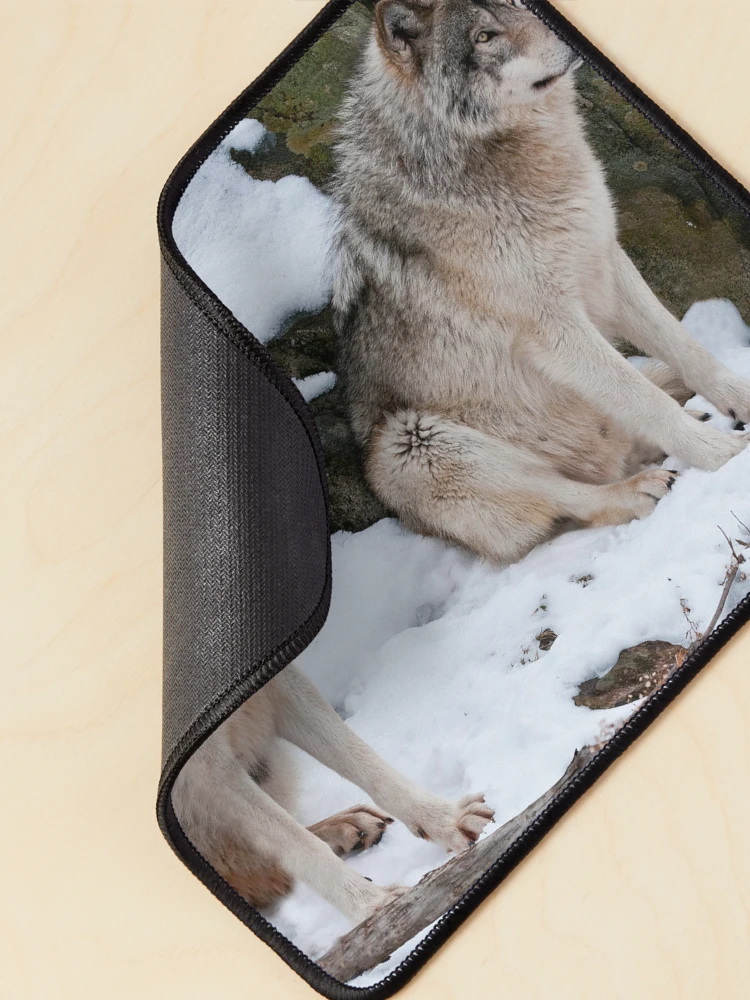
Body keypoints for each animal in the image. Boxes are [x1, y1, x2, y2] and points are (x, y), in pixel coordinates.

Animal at [331, 0, 750, 564]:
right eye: (484, 37)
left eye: (514, 6)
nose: (569, 36)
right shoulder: (552, 326)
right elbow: (642, 397)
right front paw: (724, 456)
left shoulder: (604, 261)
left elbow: (687, 349)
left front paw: (738, 399)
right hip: (408, 443)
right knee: (570, 498)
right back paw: (639, 490)